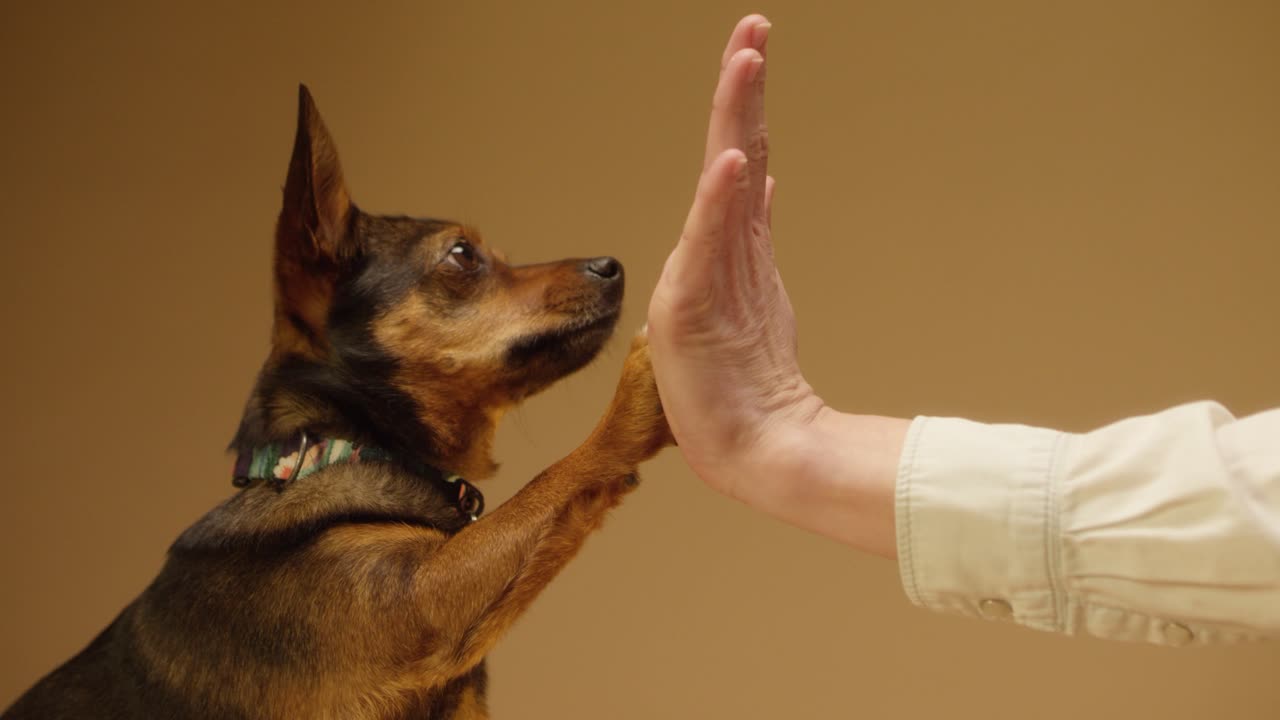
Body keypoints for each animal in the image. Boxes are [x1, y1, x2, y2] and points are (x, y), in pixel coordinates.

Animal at [0, 85, 675, 717]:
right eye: (462, 256)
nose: (612, 266)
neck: (346, 446)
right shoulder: (422, 599)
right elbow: (550, 480)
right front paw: (642, 389)